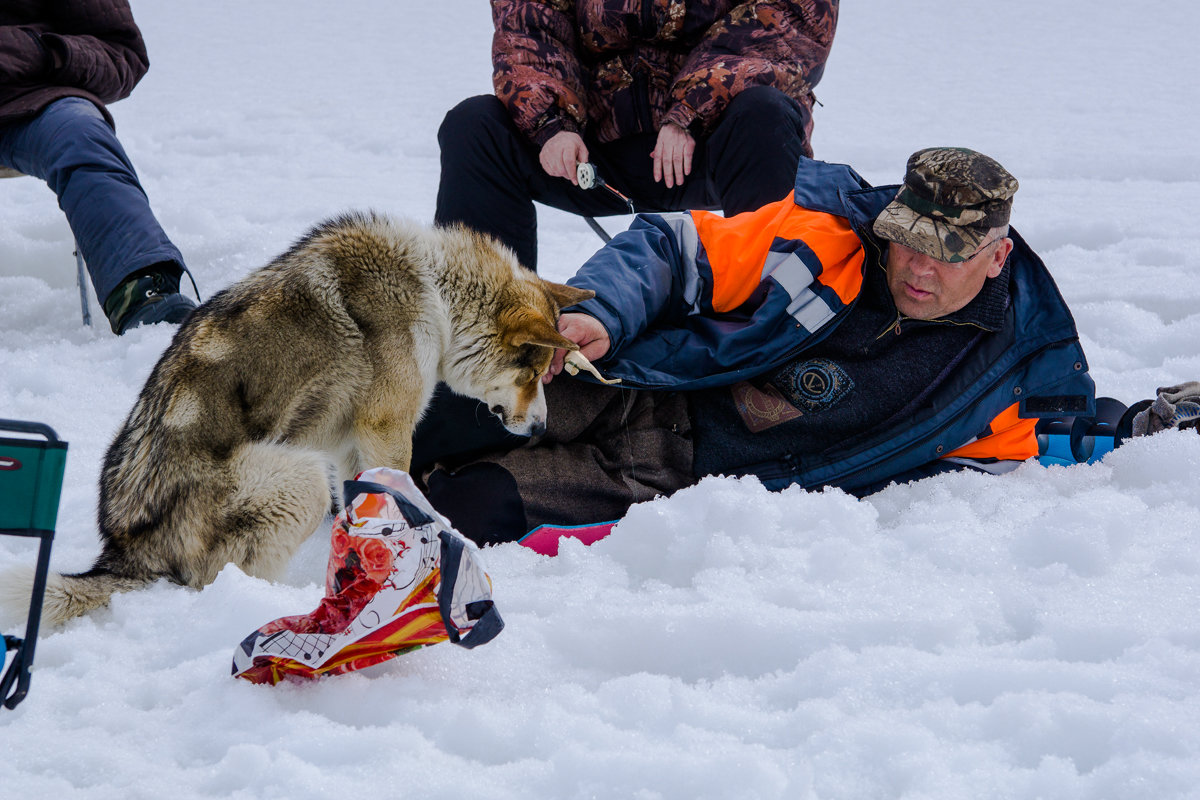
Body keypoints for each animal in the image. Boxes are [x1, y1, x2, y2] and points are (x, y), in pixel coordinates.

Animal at [9, 212, 590, 623]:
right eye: (533, 372)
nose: (541, 429)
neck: (438, 293)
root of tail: (123, 553)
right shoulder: (385, 431)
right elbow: (411, 499)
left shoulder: (346, 447)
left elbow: (362, 510)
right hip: (299, 478)